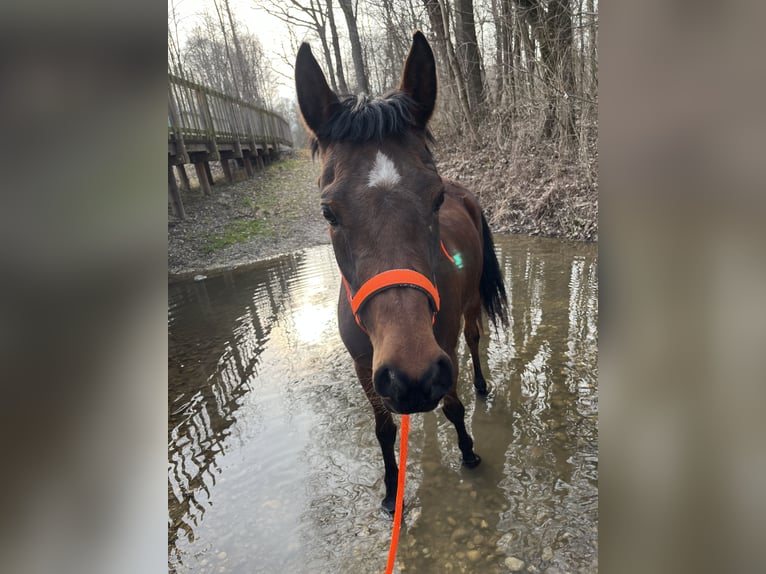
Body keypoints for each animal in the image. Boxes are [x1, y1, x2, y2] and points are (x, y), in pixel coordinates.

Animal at [296, 30, 510, 516]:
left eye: (435, 198)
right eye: (328, 212)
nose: (413, 375)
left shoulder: (442, 347)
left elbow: (453, 407)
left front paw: (469, 453)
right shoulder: (364, 366)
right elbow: (384, 430)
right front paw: (392, 492)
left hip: (470, 309)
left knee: (475, 341)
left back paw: (481, 385)